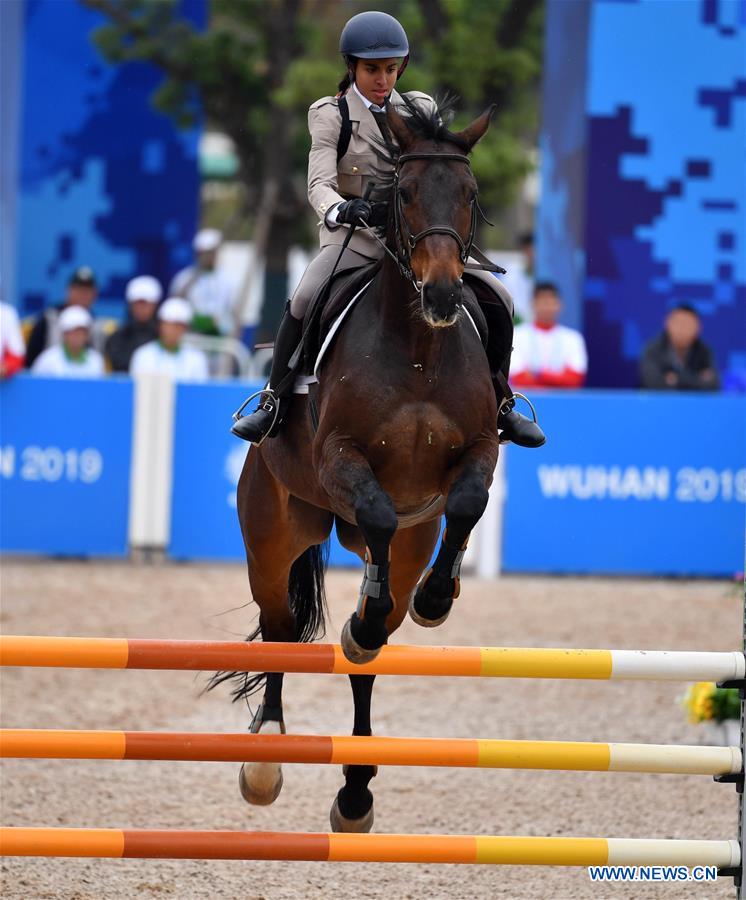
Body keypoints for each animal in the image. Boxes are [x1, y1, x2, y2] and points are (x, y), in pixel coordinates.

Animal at [218, 102, 502, 832]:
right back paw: (265, 760)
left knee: (366, 654)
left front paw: (436, 599)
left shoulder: (478, 453)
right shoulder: (339, 457)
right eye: (403, 194)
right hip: (274, 535)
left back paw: (355, 790)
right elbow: (374, 505)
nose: (442, 293)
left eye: (470, 194)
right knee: (281, 631)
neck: (419, 348)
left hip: (407, 543)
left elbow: (467, 504)